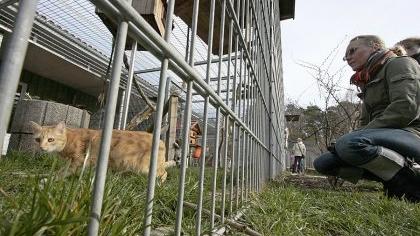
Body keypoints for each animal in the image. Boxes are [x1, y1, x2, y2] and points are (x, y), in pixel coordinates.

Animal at [29, 121, 169, 182]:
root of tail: (161, 141)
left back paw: (159, 184)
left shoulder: (78, 160)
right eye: (37, 139)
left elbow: (62, 172)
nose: (41, 147)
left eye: (50, 139)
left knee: (165, 173)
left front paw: (48, 180)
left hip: (144, 168)